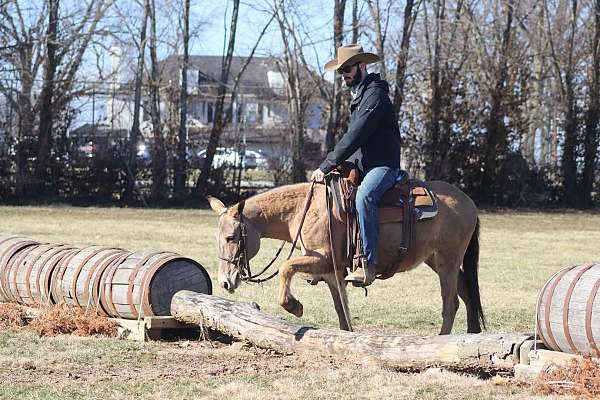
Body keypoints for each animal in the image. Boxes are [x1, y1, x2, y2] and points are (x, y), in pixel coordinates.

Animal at [209, 180, 486, 332]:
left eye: (231, 238)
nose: (225, 282)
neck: (303, 210)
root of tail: (469, 203)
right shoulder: (331, 272)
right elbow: (342, 310)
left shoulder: (320, 259)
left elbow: (287, 267)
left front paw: (293, 306)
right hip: (436, 260)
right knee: (467, 293)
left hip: (448, 259)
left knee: (450, 303)